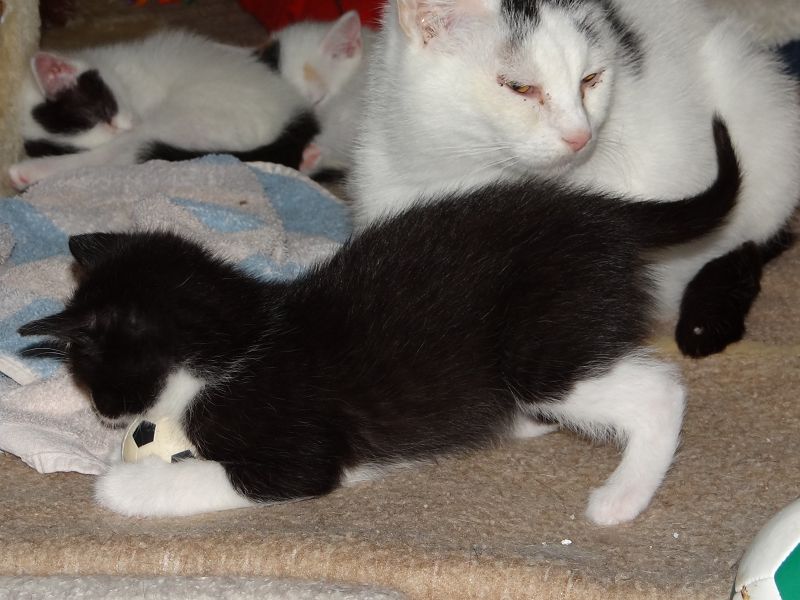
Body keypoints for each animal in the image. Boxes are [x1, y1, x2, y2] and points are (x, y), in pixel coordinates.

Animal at [19, 116, 739, 523]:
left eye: (94, 376)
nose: (106, 414)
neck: (238, 339)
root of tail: (605, 210)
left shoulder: (299, 453)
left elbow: (219, 476)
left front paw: (121, 486)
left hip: (542, 338)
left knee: (659, 391)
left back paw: (622, 498)